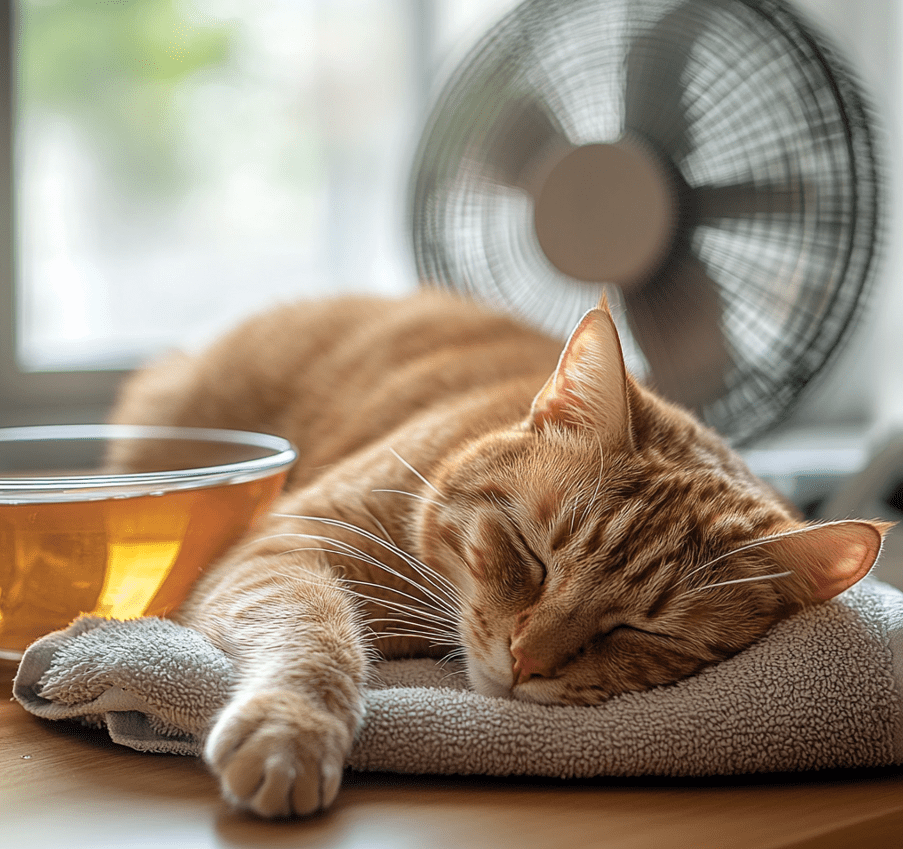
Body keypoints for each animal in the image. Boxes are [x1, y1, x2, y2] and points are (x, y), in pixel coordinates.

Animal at [107, 290, 888, 816]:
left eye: (642, 631)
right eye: (533, 557)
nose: (524, 660)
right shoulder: (291, 542)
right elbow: (315, 633)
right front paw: (291, 731)